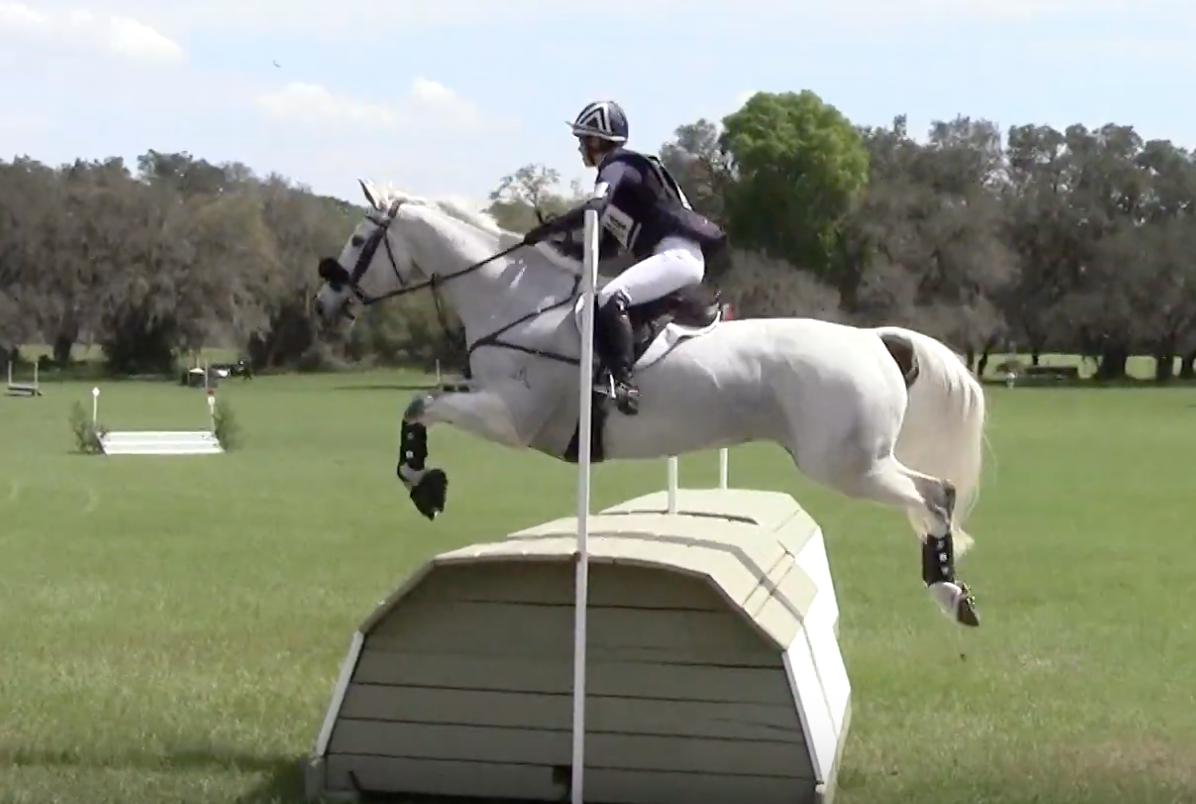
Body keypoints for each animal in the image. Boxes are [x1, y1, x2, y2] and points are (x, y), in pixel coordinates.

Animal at [313, 179, 990, 628]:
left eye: (358, 237)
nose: (323, 303)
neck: (516, 300)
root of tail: (874, 339)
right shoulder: (492, 403)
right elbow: (418, 406)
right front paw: (425, 481)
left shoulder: (509, 418)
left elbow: (418, 406)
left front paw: (424, 483)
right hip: (858, 462)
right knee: (937, 494)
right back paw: (953, 591)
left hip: (847, 465)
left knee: (935, 495)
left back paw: (948, 592)